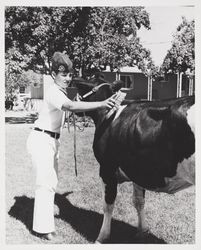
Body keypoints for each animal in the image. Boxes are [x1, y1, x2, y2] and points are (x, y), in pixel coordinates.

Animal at [73, 79, 194, 242]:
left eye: (79, 90)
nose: (73, 103)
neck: (109, 115)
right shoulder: (138, 169)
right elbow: (138, 201)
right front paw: (143, 231)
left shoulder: (107, 168)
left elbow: (108, 204)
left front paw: (102, 237)